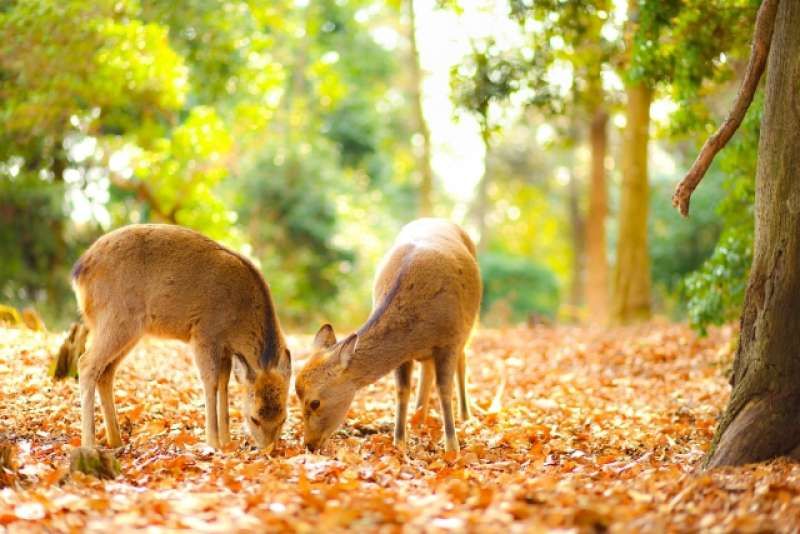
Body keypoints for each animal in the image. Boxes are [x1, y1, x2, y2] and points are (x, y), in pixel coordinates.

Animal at [66, 225, 290, 452]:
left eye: (283, 418)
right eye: (254, 418)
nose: (269, 450)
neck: (238, 321)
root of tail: (79, 272)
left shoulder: (225, 348)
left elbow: (224, 383)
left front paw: (227, 441)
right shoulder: (204, 333)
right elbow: (210, 382)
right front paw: (213, 443)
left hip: (128, 329)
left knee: (106, 372)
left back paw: (116, 441)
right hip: (116, 318)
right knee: (86, 363)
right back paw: (89, 445)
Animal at [296, 220, 482, 454]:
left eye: (315, 402)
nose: (309, 444)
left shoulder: (450, 339)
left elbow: (444, 390)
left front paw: (451, 448)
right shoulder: (404, 356)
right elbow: (402, 390)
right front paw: (399, 443)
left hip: (469, 325)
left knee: (462, 361)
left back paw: (465, 416)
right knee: (427, 369)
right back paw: (419, 417)